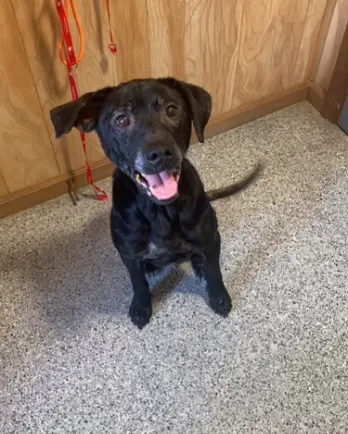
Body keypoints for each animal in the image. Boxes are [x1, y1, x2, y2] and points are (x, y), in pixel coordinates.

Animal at [50, 78, 260, 328]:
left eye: (171, 109)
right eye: (122, 119)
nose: (160, 153)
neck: (160, 211)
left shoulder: (210, 239)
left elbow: (214, 271)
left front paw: (219, 297)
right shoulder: (128, 254)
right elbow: (138, 283)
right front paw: (141, 307)